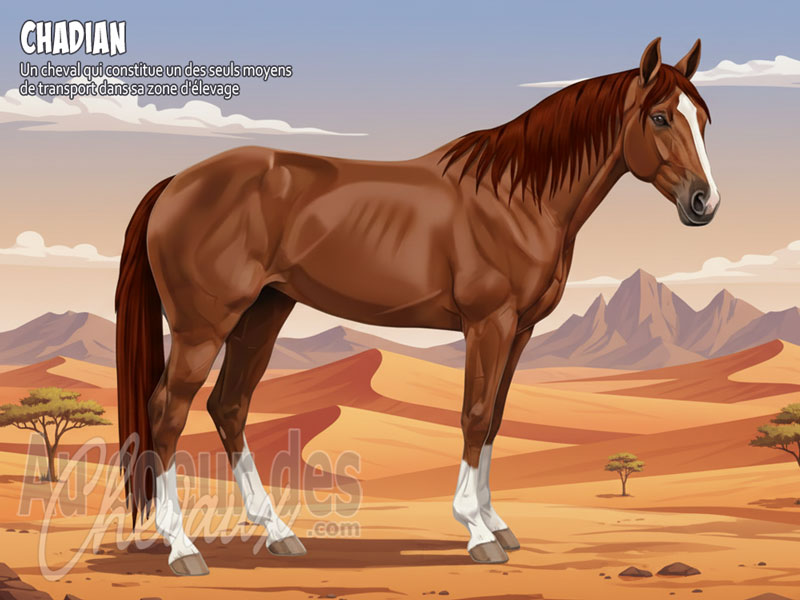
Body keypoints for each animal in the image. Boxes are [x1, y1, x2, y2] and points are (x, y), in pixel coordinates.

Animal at [115, 37, 719, 575]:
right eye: (660, 118)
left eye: (704, 119)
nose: (704, 203)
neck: (517, 198)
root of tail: (177, 182)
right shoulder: (488, 323)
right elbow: (474, 416)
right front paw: (477, 532)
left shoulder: (519, 330)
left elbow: (496, 418)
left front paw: (497, 523)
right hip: (203, 327)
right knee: (168, 412)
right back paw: (182, 550)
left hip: (262, 313)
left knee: (230, 406)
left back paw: (280, 534)